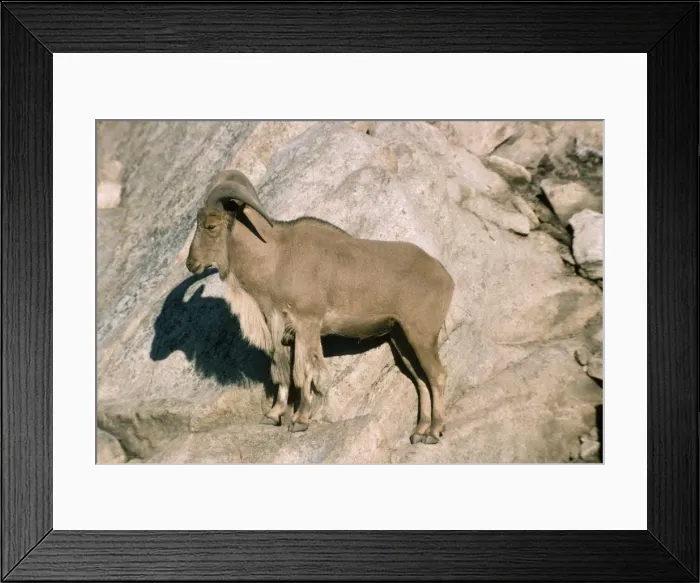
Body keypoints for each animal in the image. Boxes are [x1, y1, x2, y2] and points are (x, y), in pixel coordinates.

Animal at [186, 169, 455, 444]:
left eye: (210, 226)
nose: (191, 263)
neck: (277, 258)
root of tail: (445, 276)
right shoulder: (285, 331)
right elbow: (284, 369)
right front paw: (274, 414)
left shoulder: (307, 323)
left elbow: (306, 371)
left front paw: (301, 418)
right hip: (400, 337)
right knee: (420, 379)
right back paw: (419, 431)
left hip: (421, 334)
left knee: (437, 375)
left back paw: (434, 431)